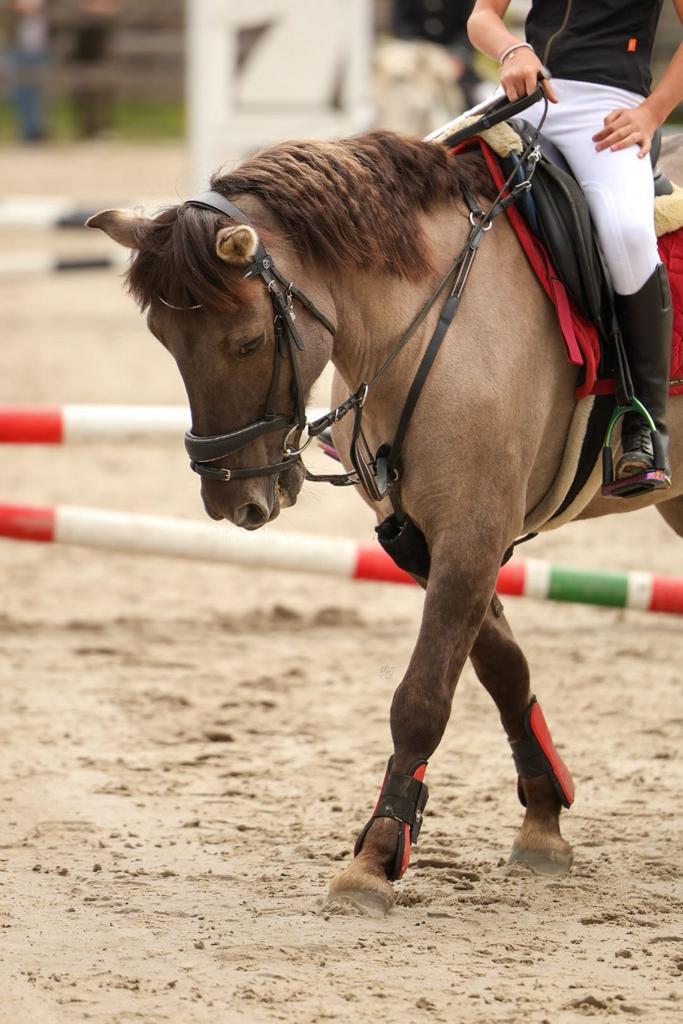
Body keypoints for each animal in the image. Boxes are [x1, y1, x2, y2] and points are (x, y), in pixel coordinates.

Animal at [87, 129, 683, 916]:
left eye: (248, 341)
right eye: (162, 337)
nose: (229, 501)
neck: (429, 319)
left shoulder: (473, 530)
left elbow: (421, 697)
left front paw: (375, 857)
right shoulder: (421, 535)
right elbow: (501, 666)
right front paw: (542, 818)